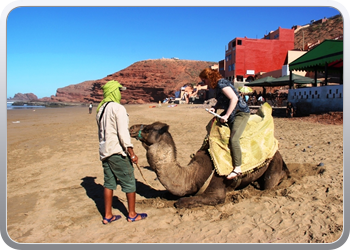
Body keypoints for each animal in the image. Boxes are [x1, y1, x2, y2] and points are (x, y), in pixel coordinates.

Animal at [130, 117, 288, 209]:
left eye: (148, 129)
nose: (131, 128)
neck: (191, 175)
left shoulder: (216, 188)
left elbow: (180, 202)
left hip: (274, 163)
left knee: (270, 183)